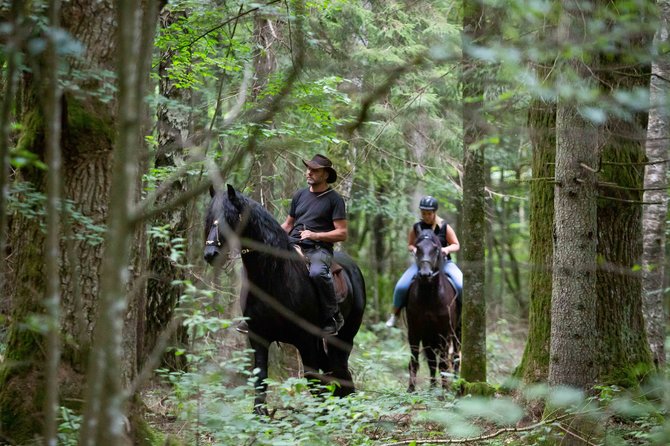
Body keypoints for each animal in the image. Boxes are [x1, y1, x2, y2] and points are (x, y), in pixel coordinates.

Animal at [205, 183, 368, 412]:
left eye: (229, 218)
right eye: (209, 217)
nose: (210, 253)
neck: (275, 278)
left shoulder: (306, 340)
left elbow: (312, 380)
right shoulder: (258, 337)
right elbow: (261, 380)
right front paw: (259, 415)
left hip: (343, 337)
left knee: (339, 368)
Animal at [406, 230, 460, 390]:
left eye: (436, 249)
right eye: (417, 248)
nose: (425, 274)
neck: (429, 297)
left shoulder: (444, 333)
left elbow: (443, 363)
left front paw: (444, 391)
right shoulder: (415, 331)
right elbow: (415, 361)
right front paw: (411, 390)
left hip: (457, 332)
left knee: (456, 357)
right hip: (429, 337)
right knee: (431, 362)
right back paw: (432, 387)